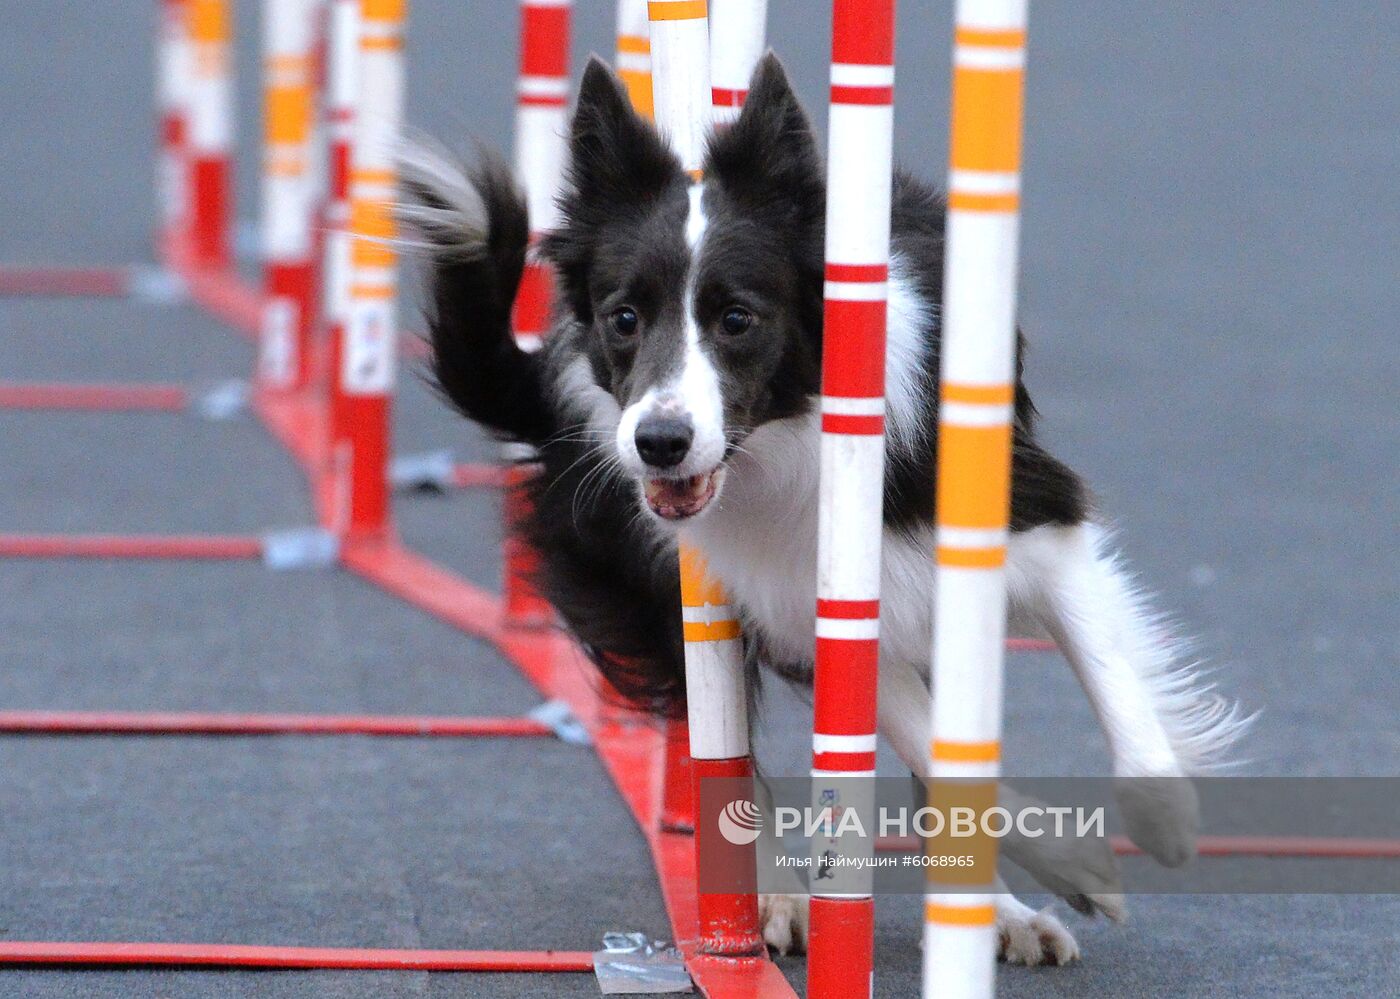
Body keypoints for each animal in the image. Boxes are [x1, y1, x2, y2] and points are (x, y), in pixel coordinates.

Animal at [403, 56, 1248, 962]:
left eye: (738, 318)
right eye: (624, 317)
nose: (659, 442)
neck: (790, 438)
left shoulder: (1029, 519)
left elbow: (1106, 673)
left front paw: (1160, 825)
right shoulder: (800, 606)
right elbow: (918, 739)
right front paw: (1073, 858)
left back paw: (1003, 914)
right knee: (738, 754)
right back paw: (777, 897)